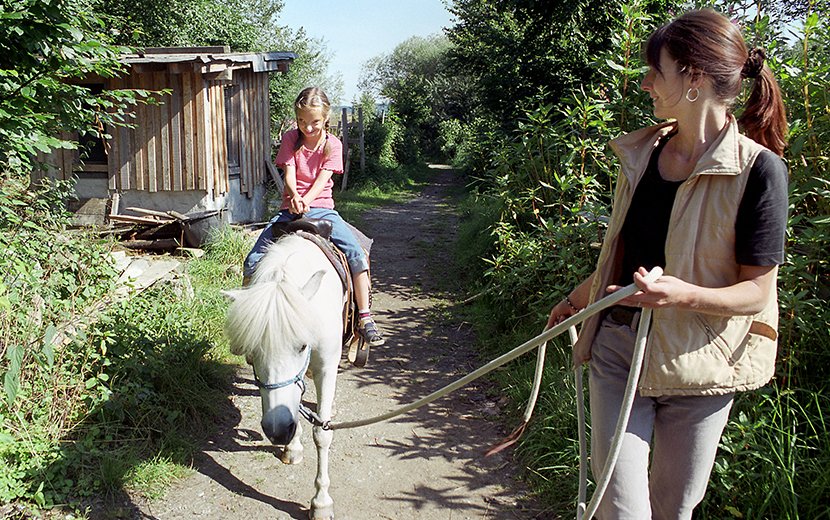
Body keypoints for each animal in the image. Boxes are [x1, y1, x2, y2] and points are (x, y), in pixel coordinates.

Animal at [223, 233, 344, 520]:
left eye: (302, 346)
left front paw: (321, 503)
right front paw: (293, 447)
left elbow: (322, 432)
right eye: (252, 352)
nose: (277, 432)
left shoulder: (326, 367)